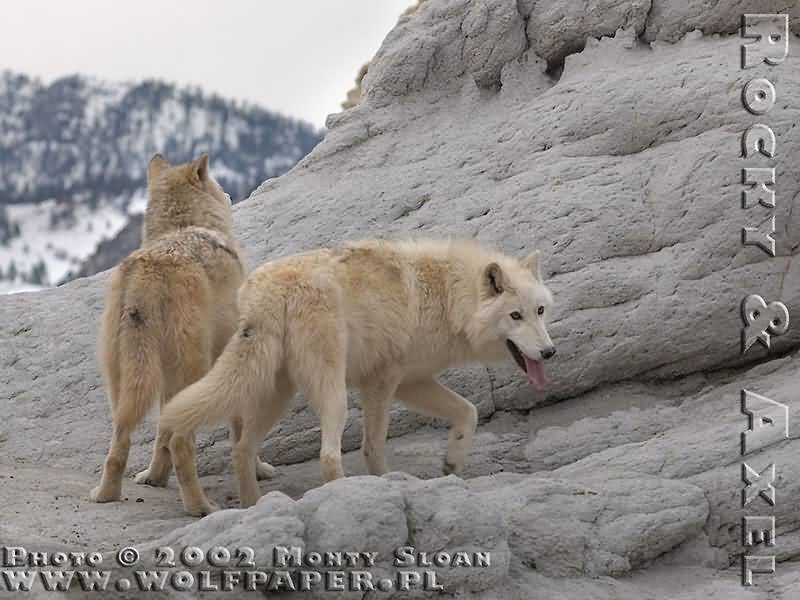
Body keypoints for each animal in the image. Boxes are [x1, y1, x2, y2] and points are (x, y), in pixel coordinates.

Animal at [90, 153, 274, 503]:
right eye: (217, 183)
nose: (229, 195)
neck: (186, 226)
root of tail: (147, 271)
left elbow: (160, 438)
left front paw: (153, 478)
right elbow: (240, 430)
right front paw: (258, 470)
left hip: (125, 386)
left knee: (120, 444)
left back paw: (106, 494)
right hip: (192, 371)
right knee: (180, 444)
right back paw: (201, 507)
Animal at [158, 238, 556, 515]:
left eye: (539, 311)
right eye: (515, 316)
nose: (550, 352)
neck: (447, 294)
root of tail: (269, 291)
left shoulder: (411, 382)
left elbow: (468, 412)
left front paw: (453, 462)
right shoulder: (382, 382)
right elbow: (374, 446)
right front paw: (385, 483)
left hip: (277, 394)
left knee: (242, 450)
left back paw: (254, 507)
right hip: (333, 396)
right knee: (327, 457)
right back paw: (340, 496)